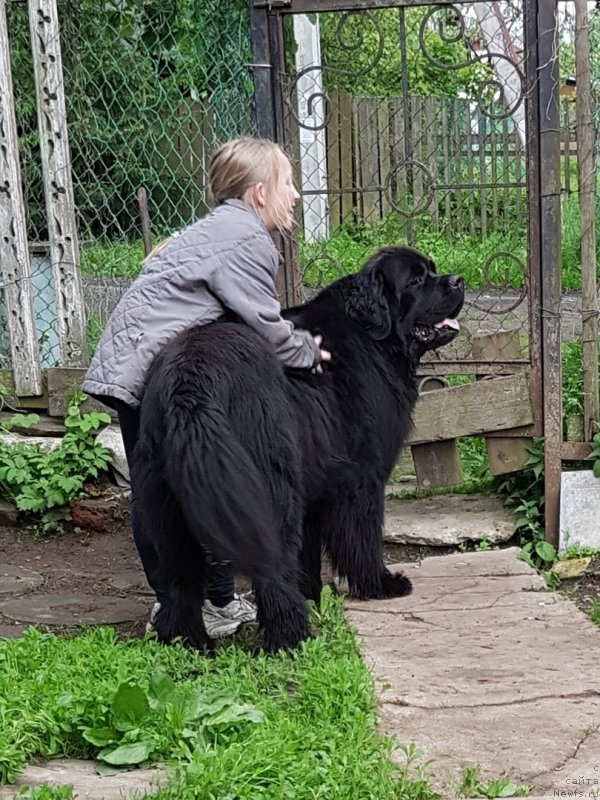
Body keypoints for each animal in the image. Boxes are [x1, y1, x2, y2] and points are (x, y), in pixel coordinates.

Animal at [135, 247, 464, 652]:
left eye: (432, 269)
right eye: (416, 280)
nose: (458, 281)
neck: (373, 337)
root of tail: (190, 380)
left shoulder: (315, 481)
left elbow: (308, 552)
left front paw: (313, 594)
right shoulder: (363, 477)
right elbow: (363, 538)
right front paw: (380, 584)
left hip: (167, 504)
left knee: (179, 581)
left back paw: (187, 644)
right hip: (269, 492)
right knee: (272, 569)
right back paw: (292, 637)